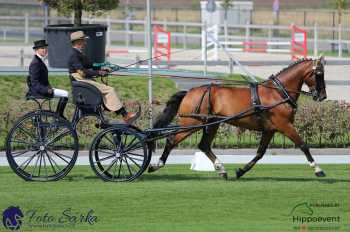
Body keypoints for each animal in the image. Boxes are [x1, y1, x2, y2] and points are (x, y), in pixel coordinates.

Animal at [149, 56, 326, 179]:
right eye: (318, 74)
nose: (323, 96)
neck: (277, 93)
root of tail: (189, 92)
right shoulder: (284, 125)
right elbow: (303, 145)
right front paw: (318, 169)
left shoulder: (270, 130)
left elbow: (260, 153)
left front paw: (241, 171)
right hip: (191, 123)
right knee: (171, 140)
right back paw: (156, 164)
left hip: (212, 124)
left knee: (204, 145)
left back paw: (221, 169)